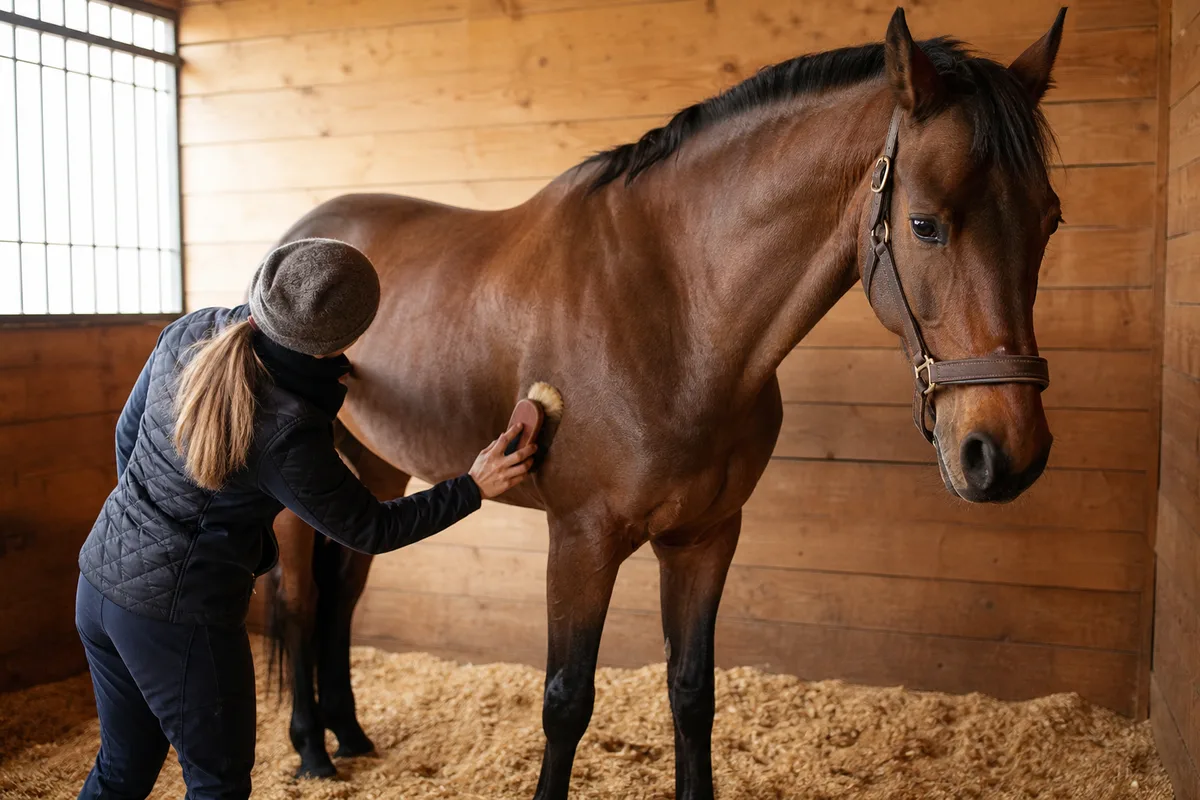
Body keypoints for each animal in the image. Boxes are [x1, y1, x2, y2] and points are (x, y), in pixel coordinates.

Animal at [263, 8, 1065, 798]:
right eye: (926, 223)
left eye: (1049, 219)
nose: (1005, 453)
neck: (675, 312)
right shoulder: (580, 540)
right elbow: (566, 701)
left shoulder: (704, 536)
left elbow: (691, 692)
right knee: (302, 600)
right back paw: (311, 750)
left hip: (374, 467)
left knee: (344, 592)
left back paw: (351, 735)